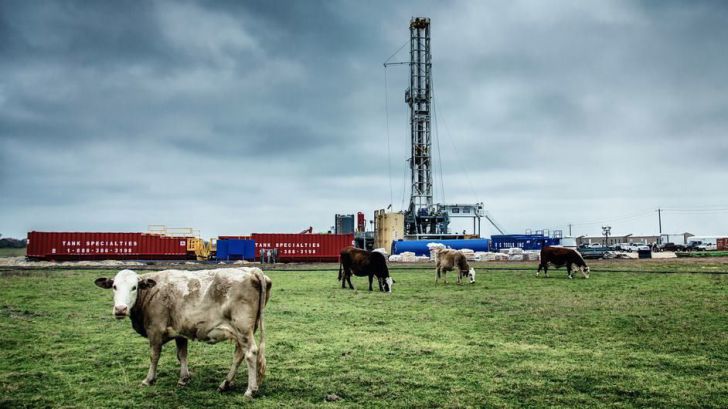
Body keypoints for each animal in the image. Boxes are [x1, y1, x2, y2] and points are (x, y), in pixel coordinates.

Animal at [94, 266, 270, 396]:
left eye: (134, 287)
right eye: (114, 287)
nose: (120, 309)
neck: (152, 291)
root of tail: (252, 270)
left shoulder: (155, 330)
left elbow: (154, 356)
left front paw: (149, 379)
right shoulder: (180, 331)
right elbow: (182, 355)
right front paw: (183, 379)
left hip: (243, 328)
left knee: (250, 353)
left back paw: (250, 390)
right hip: (243, 331)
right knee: (239, 355)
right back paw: (225, 384)